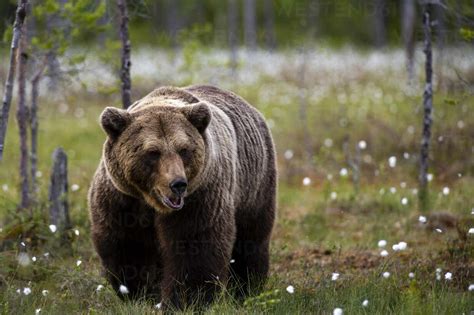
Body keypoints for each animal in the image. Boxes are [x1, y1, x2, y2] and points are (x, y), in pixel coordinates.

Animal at [88, 84, 278, 312]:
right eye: (153, 152)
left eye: (184, 149)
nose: (178, 184)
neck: (151, 202)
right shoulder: (122, 200)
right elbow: (129, 246)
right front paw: (142, 293)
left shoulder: (200, 197)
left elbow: (193, 247)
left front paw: (186, 301)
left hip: (254, 185)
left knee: (251, 240)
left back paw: (246, 290)